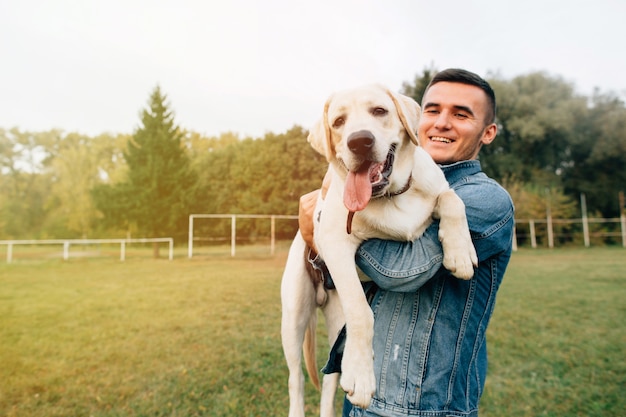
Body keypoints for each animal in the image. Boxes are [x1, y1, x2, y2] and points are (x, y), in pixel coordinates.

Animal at [280, 84, 476, 416]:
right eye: (338, 122)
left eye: (380, 111)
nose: (359, 141)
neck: (391, 197)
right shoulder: (335, 241)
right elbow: (362, 311)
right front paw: (361, 376)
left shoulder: (439, 189)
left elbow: (452, 199)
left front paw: (460, 252)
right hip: (294, 317)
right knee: (296, 380)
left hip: (336, 321)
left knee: (329, 379)